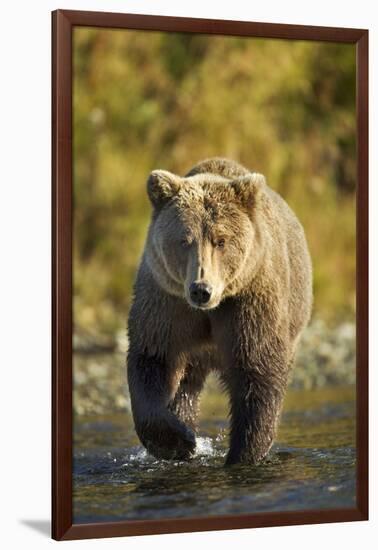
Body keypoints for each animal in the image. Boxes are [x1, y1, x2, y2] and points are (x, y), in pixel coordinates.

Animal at [125, 158, 312, 466]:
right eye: (184, 240)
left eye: (221, 240)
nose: (201, 289)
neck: (210, 310)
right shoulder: (167, 302)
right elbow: (153, 359)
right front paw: (180, 441)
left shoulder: (248, 302)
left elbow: (257, 371)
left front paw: (243, 454)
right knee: (186, 385)